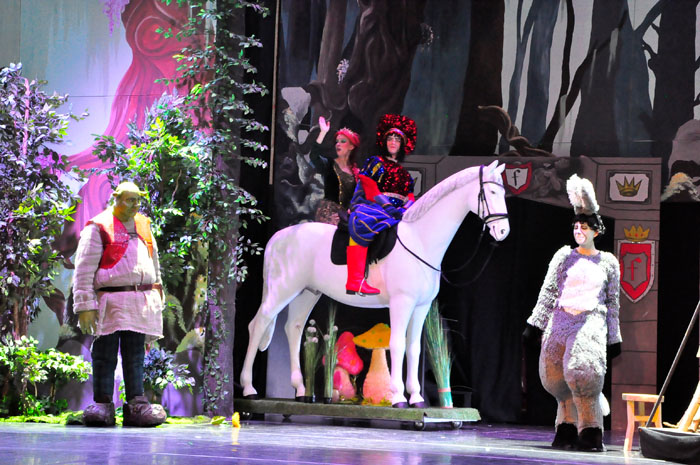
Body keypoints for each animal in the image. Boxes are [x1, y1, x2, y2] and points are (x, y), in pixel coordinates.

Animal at [240, 160, 510, 407]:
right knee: (258, 325)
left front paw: (417, 398)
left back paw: (301, 391)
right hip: (281, 291)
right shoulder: (402, 303)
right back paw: (249, 388)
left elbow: (414, 348)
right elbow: (398, 344)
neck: (420, 241)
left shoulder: (421, 307)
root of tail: (278, 237)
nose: (503, 232)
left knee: (293, 328)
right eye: (492, 192)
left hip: (307, 293)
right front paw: (399, 397)